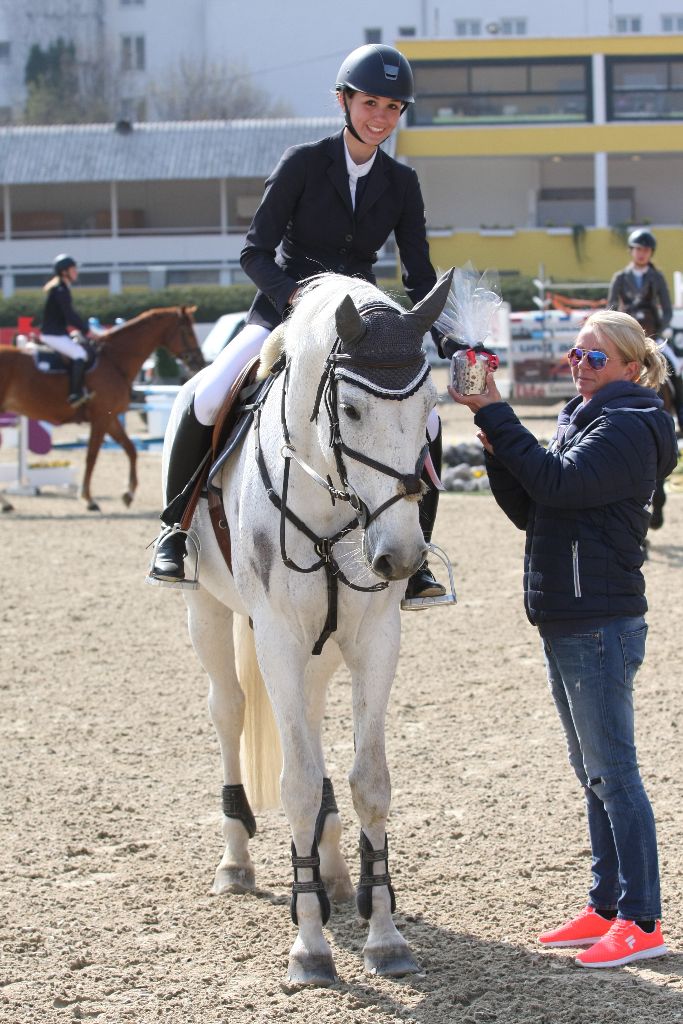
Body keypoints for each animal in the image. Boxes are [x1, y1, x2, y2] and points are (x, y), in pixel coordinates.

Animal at [0, 305, 202, 509]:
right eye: (187, 330)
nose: (199, 362)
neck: (114, 360)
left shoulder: (110, 417)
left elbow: (131, 449)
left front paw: (128, 493)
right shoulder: (100, 418)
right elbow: (92, 456)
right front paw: (88, 498)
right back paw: (6, 503)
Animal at [165, 270, 454, 983]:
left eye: (430, 406)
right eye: (349, 411)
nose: (400, 558)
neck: (330, 499)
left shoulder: (375, 637)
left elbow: (368, 782)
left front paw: (384, 935)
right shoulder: (276, 638)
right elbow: (296, 783)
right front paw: (310, 946)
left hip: (322, 648)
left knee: (317, 734)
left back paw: (336, 873)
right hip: (208, 612)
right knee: (229, 711)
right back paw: (236, 861)